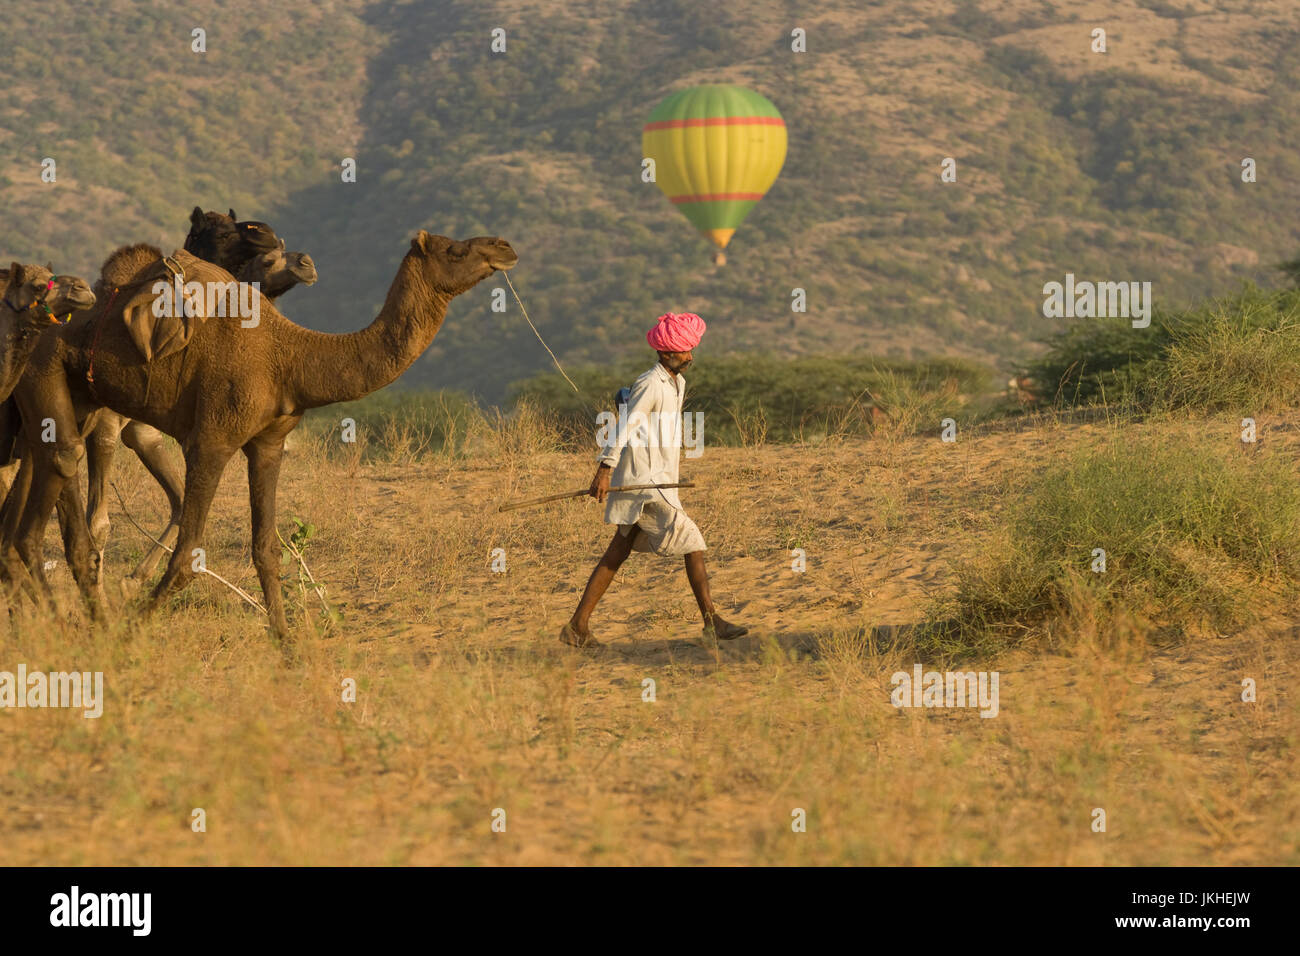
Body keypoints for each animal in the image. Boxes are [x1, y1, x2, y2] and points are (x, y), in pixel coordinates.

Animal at [11, 231, 517, 634]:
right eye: (455, 248)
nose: (504, 247)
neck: (290, 358)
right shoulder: (212, 440)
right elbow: (188, 554)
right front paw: (130, 631)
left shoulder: (269, 444)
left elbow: (267, 550)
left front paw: (289, 645)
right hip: (42, 367)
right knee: (61, 464)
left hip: (76, 398)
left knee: (52, 471)